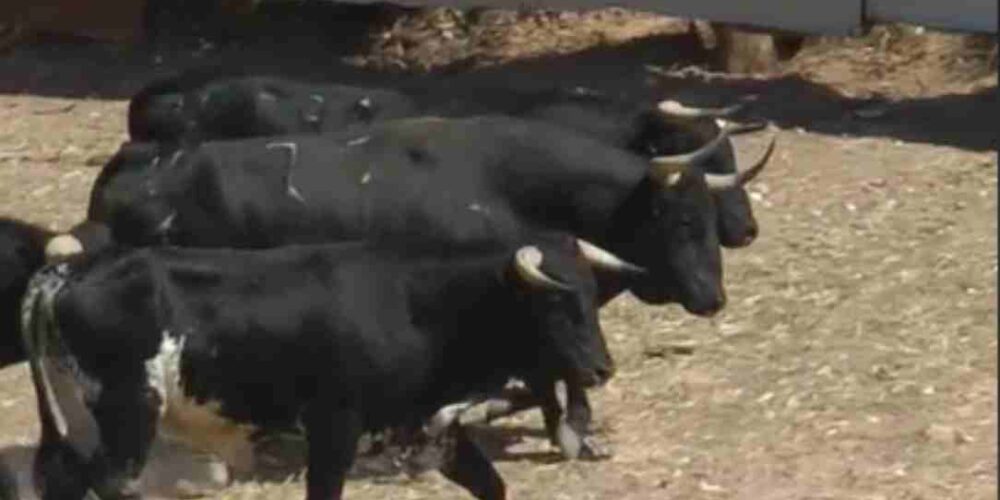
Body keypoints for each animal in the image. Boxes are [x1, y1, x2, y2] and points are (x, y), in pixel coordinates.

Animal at [23, 235, 612, 500]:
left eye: (592, 294)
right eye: (556, 305)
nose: (603, 369)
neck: (415, 306)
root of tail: (67, 272)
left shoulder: (433, 429)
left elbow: (491, 484)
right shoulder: (334, 429)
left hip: (79, 419)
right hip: (129, 413)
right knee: (111, 482)